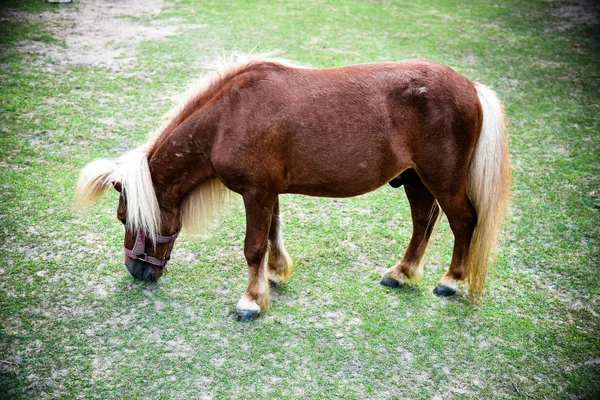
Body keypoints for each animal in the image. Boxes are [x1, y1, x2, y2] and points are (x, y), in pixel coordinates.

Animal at [72, 54, 508, 322]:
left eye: (123, 217)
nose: (136, 270)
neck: (228, 117)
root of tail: (470, 86)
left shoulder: (256, 192)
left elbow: (253, 246)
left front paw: (251, 301)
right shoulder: (268, 192)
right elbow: (272, 234)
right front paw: (276, 274)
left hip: (442, 179)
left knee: (463, 222)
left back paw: (451, 281)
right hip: (415, 179)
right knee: (423, 221)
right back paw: (401, 273)